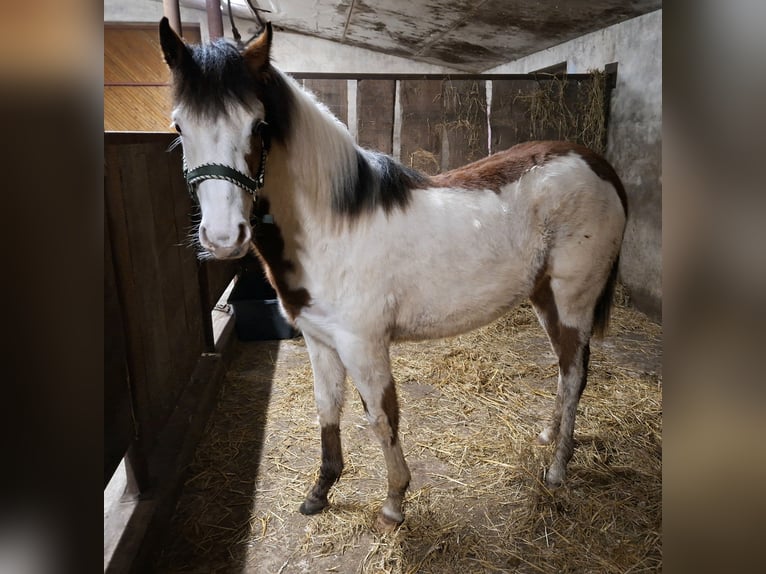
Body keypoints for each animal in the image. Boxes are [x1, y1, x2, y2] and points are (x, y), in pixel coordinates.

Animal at [159, 17, 628, 532]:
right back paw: (548, 435)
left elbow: (382, 417)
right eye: (179, 126)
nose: (224, 237)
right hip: (544, 297)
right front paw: (319, 492)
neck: (333, 227)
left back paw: (559, 468)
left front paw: (394, 503)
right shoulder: (319, 341)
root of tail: (596, 163)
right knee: (564, 370)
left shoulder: (363, 345)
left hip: (574, 300)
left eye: (258, 125)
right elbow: (327, 410)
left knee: (576, 372)